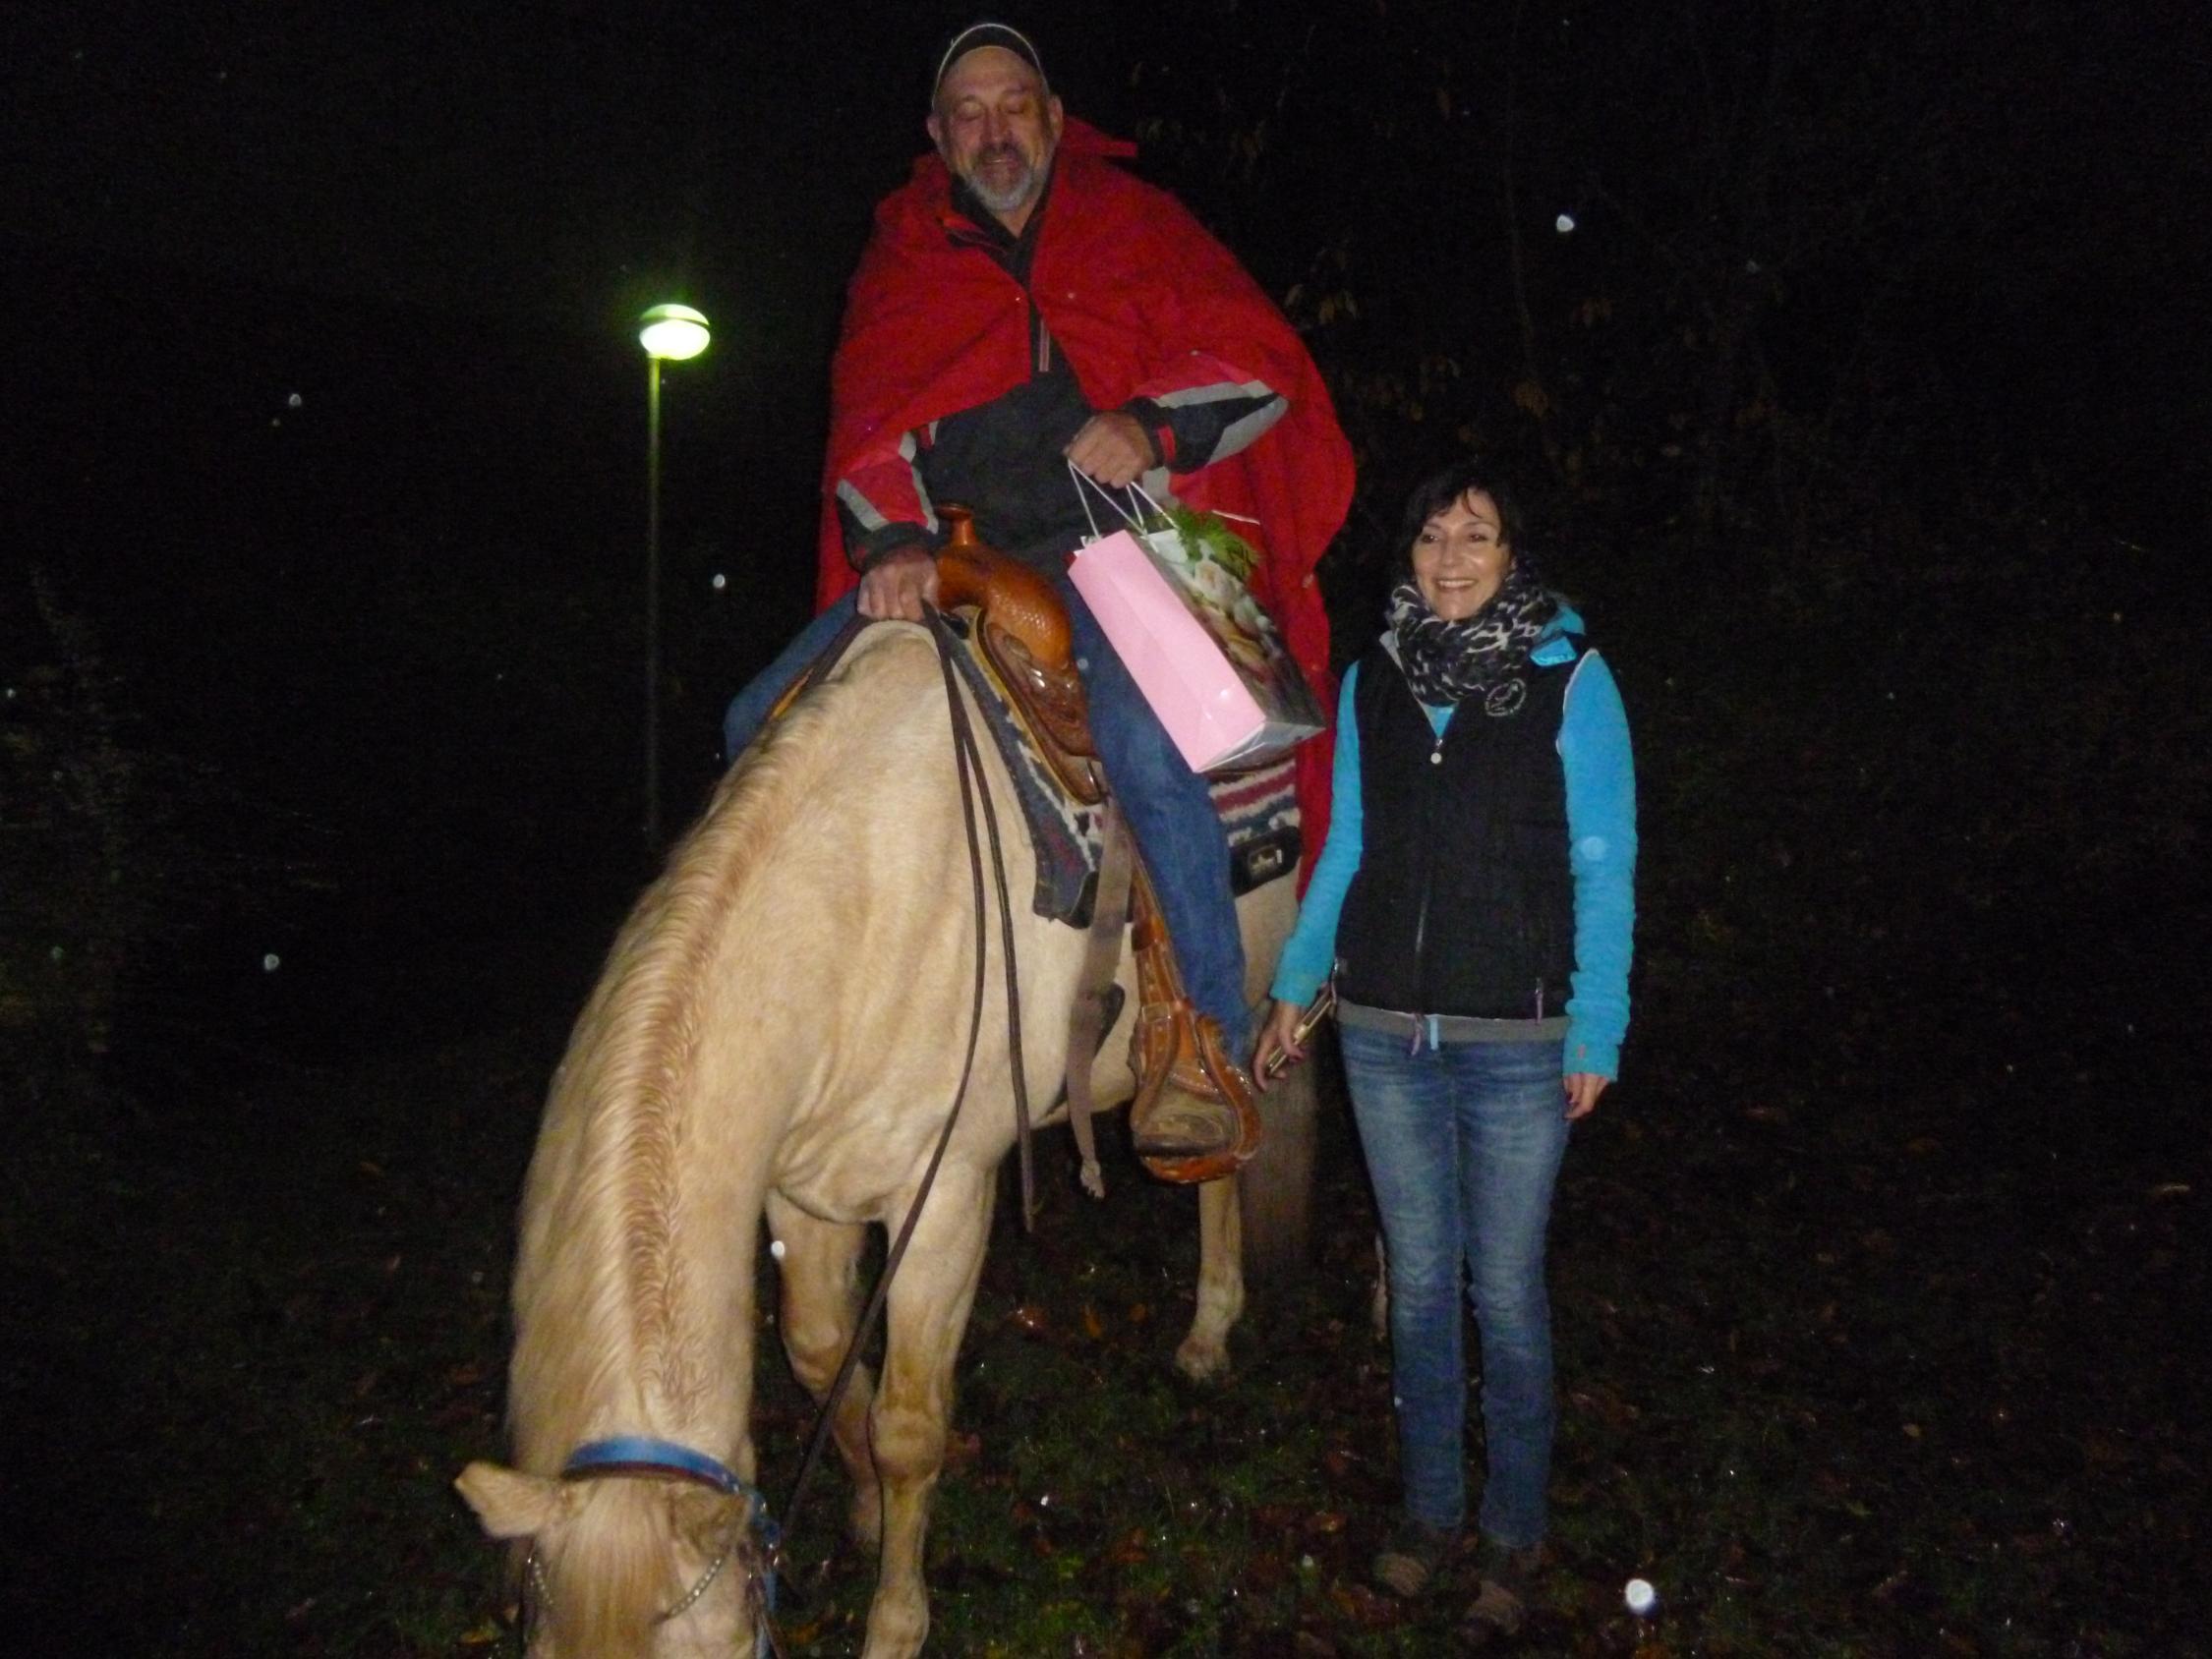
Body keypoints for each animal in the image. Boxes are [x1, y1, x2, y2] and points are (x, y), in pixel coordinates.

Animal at [455, 619, 1301, 1654]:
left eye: (721, 1649)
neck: (859, 904)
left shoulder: (945, 1203)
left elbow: (909, 1429)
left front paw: (896, 1620)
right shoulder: (802, 1191)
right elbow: (820, 1352)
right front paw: (860, 1510)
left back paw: (1216, 1330)